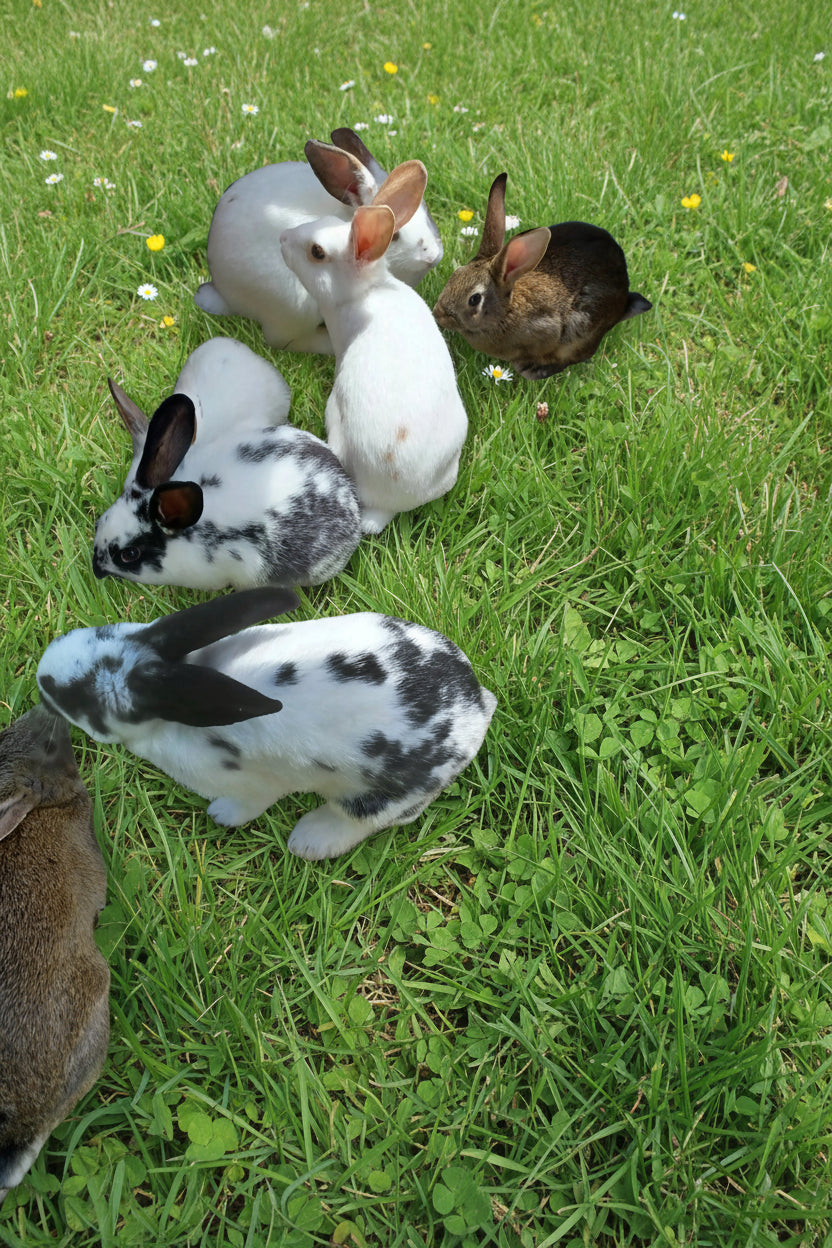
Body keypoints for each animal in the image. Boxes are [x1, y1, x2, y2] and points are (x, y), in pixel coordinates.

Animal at [36, 588, 497, 862]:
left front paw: (221, 816)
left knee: (363, 821)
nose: (41, 681)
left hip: (377, 797)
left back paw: (308, 840)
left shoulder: (255, 785)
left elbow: (248, 804)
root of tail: (476, 707)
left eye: (75, 696)